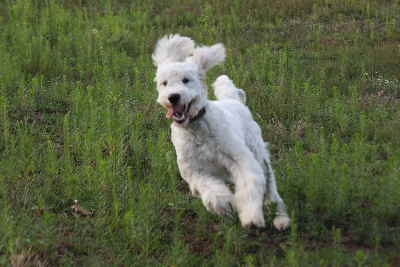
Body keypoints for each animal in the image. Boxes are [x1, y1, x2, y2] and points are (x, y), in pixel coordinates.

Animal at [152, 34, 290, 230]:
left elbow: (250, 184)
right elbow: (211, 190)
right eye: (164, 83)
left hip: (258, 152)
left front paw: (251, 217)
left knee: (271, 186)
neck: (197, 129)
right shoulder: (195, 171)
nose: (173, 97)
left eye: (186, 80)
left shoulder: (241, 160)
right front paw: (225, 204)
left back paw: (280, 217)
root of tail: (233, 100)